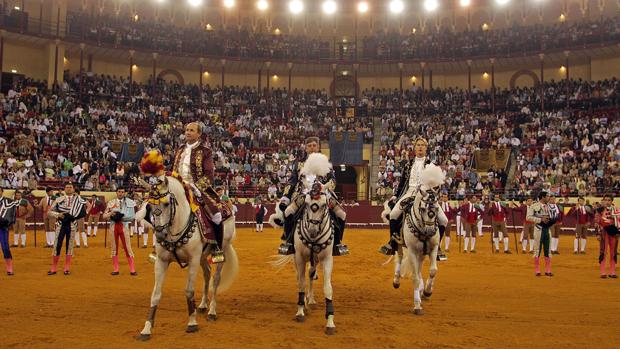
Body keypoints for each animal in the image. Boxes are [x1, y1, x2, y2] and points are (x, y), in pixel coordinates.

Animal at [135, 175, 237, 338]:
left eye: (166, 204)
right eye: (149, 206)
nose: (160, 234)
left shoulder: (193, 259)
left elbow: (189, 290)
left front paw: (192, 323)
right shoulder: (162, 261)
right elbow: (156, 293)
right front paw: (147, 329)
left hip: (223, 249)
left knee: (216, 279)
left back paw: (212, 311)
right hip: (203, 256)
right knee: (207, 273)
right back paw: (202, 305)